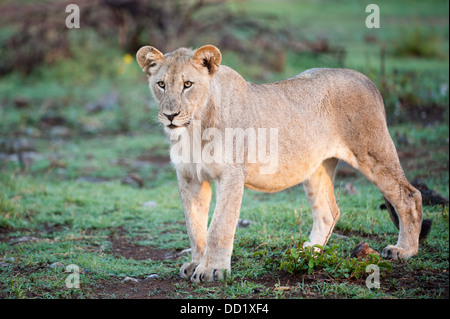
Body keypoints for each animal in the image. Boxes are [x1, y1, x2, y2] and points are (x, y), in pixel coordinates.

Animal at [136, 43, 428, 284]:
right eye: (161, 84)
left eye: (188, 84)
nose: (170, 115)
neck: (193, 128)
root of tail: (367, 80)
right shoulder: (189, 178)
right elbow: (194, 226)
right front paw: (196, 263)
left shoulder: (231, 174)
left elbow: (219, 227)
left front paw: (212, 270)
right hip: (317, 167)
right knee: (328, 212)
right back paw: (308, 253)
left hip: (372, 152)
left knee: (409, 195)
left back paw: (403, 251)